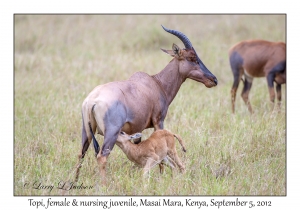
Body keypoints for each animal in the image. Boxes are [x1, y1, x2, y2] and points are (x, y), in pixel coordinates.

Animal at [74, 24, 217, 183]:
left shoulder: (137, 129)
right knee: (102, 157)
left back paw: (74, 182)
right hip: (111, 133)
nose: (214, 80)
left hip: (86, 131)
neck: (156, 83)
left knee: (81, 153)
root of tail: (92, 100)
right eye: (192, 58)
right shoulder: (158, 121)